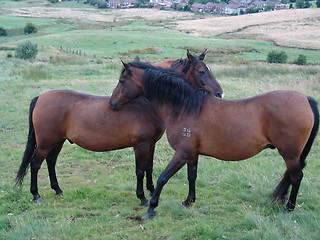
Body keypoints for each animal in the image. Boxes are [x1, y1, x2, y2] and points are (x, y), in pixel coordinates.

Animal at [16, 50, 224, 204]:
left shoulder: (151, 144)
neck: (147, 104)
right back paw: (36, 195)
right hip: (46, 142)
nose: (220, 94)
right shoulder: (140, 145)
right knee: (35, 163)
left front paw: (151, 190)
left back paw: (58, 189)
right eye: (202, 72)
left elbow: (149, 167)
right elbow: (140, 170)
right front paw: (142, 198)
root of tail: (41, 97)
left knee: (51, 162)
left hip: (57, 141)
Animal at [109, 60, 318, 219]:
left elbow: (162, 179)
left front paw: (151, 208)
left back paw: (288, 208)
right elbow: (191, 175)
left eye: (121, 81)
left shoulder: (181, 154)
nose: (112, 103)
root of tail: (305, 99)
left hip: (289, 153)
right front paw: (188, 201)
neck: (184, 107)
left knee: (296, 176)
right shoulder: (192, 153)